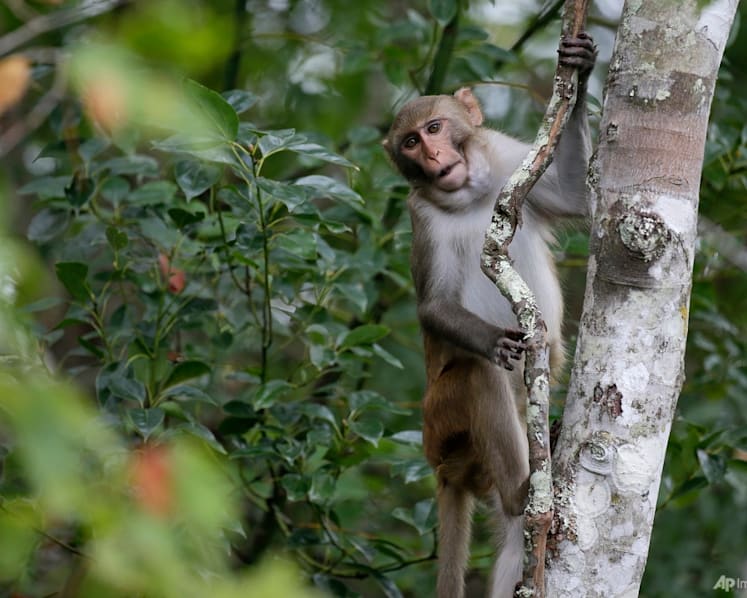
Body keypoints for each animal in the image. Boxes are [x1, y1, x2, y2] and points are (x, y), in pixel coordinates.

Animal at [383, 34, 596, 598]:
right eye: (410, 142)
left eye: (435, 128)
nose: (434, 155)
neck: (468, 194)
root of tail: (444, 468)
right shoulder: (421, 216)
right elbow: (435, 306)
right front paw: (497, 342)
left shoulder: (504, 156)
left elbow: (577, 196)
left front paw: (581, 68)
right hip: (441, 421)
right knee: (478, 376)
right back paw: (521, 491)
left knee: (515, 540)